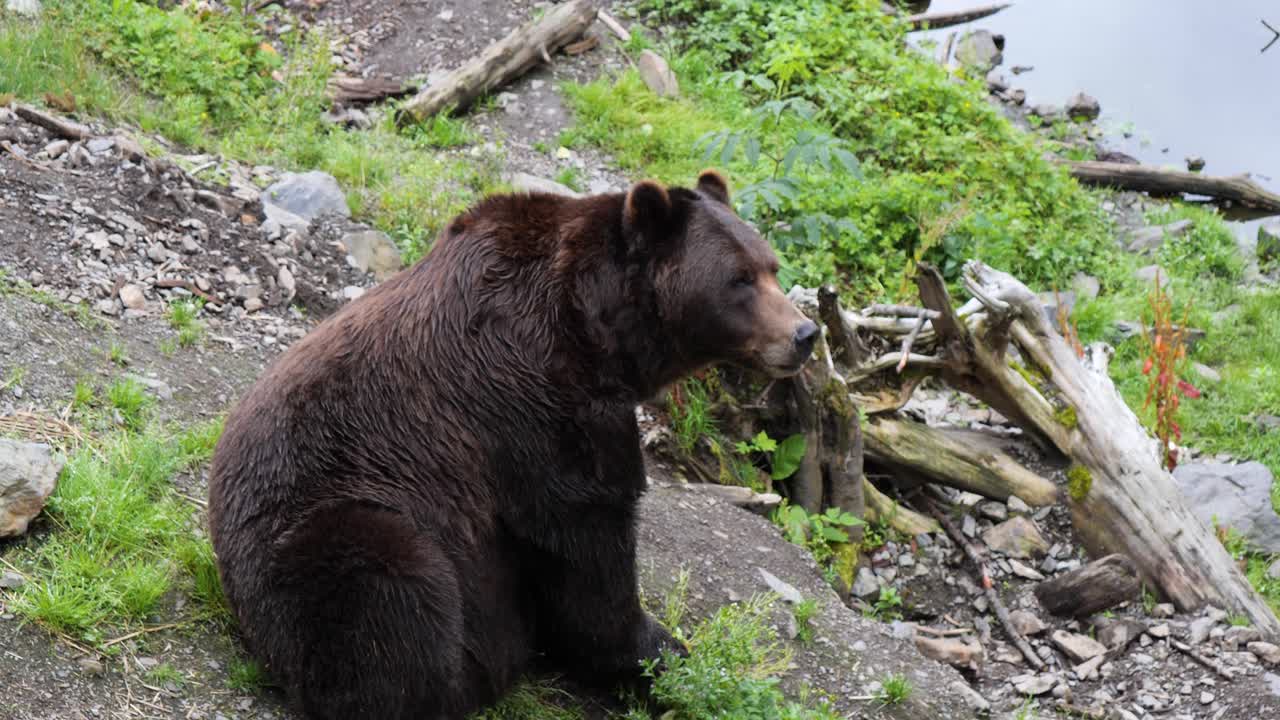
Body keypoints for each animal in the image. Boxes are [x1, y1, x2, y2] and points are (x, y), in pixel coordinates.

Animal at [206, 169, 819, 720]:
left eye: (771, 266)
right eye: (739, 278)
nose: (805, 333)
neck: (603, 334)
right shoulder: (536, 397)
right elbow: (587, 542)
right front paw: (654, 656)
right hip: (326, 525)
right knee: (381, 580)